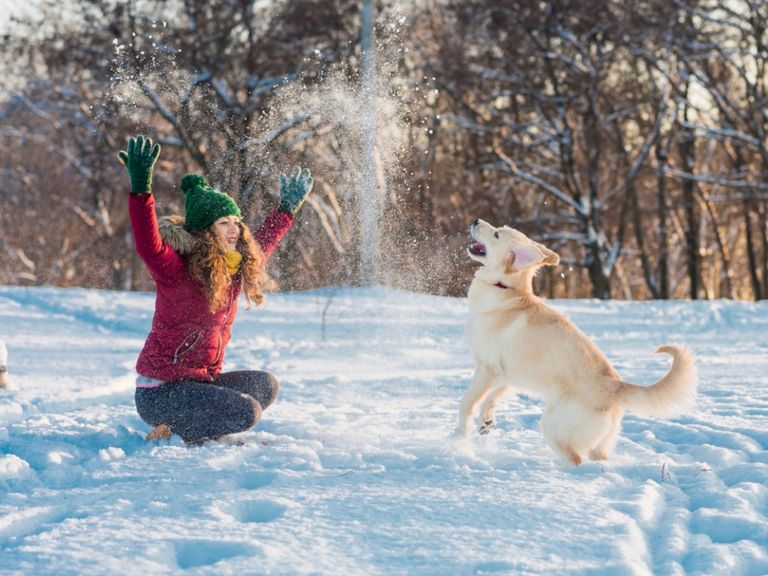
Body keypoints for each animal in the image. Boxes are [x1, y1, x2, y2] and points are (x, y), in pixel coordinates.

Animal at [456, 218, 696, 466]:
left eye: (496, 234)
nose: (475, 221)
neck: (506, 290)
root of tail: (616, 386)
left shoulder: (488, 369)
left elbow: (468, 402)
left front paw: (460, 436)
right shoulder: (509, 376)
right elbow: (492, 397)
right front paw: (486, 422)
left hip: (553, 426)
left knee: (576, 459)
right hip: (599, 443)